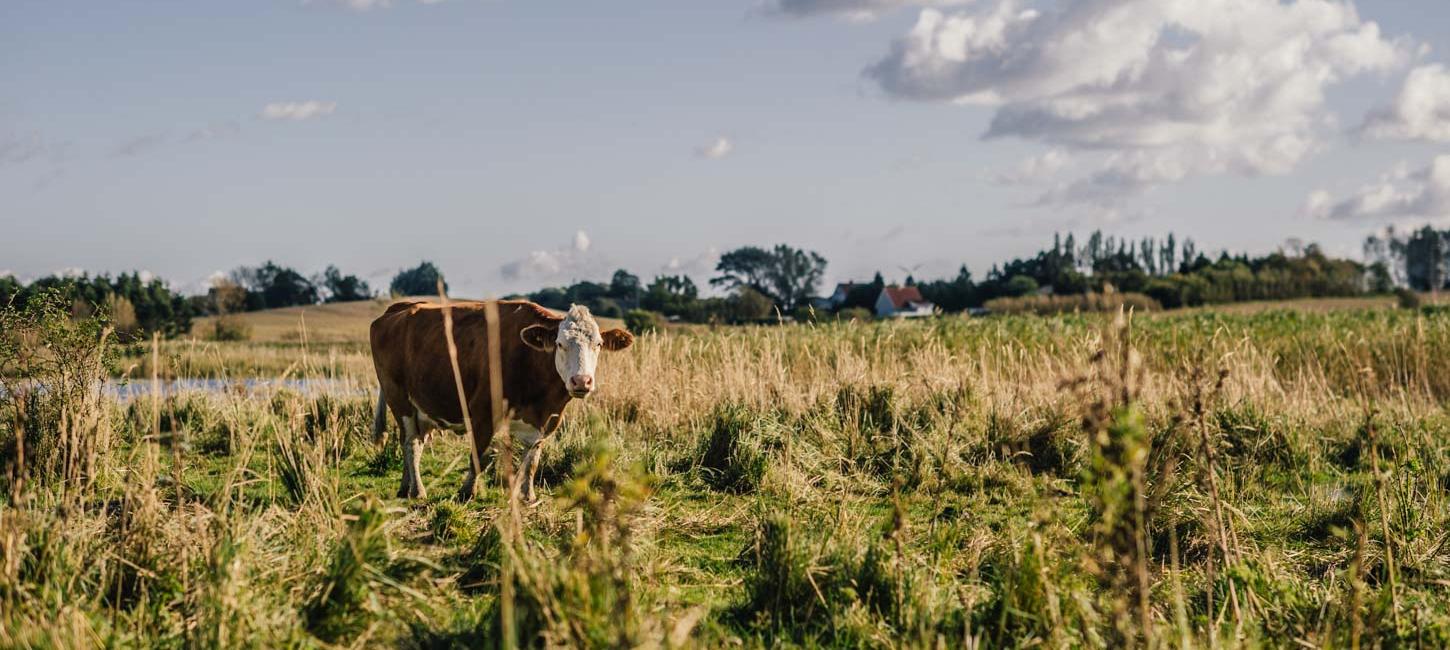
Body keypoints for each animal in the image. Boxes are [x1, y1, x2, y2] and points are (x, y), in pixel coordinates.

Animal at [371, 298, 632, 502]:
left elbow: (532, 459)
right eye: (560, 344)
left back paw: (405, 488)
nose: (581, 381)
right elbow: (478, 455)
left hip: (423, 407)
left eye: (598, 344)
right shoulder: (483, 412)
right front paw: (467, 492)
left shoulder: (546, 420)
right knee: (411, 443)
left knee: (413, 441)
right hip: (399, 398)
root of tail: (398, 308)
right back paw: (417, 491)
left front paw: (527, 495)